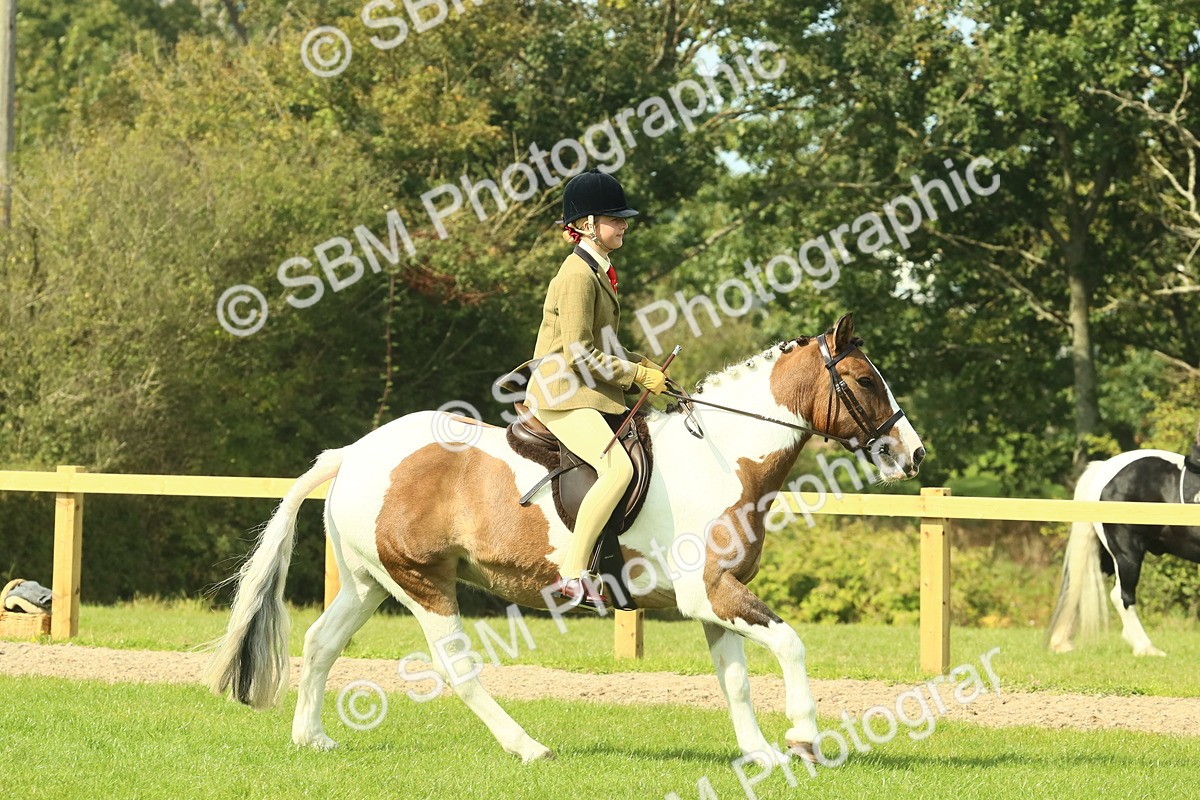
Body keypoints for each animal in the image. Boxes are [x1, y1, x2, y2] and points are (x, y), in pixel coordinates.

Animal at [205, 313, 925, 764]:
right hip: (423, 582)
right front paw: (803, 740)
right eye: (865, 380)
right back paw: (527, 747)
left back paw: (312, 740)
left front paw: (761, 754)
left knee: (321, 643)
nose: (912, 454)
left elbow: (737, 681)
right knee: (456, 669)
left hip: (366, 581)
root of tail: (353, 452)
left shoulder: (713, 601)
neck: (725, 456)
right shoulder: (710, 593)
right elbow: (793, 645)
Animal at [1047, 422, 1200, 656]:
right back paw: (1146, 648)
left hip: (1107, 555)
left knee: (1079, 584)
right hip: (1127, 551)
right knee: (1121, 596)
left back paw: (1061, 642)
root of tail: (1104, 469)